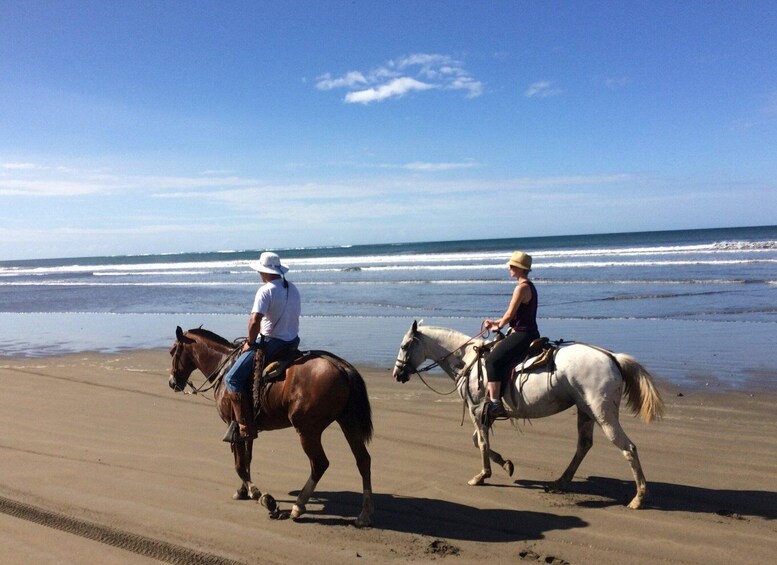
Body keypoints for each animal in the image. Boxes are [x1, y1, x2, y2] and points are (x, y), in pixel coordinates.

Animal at [168, 326, 374, 524]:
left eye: (172, 352)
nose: (172, 382)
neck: (224, 367)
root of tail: (342, 367)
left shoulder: (233, 427)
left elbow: (239, 465)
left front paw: (259, 495)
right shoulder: (247, 428)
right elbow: (247, 459)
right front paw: (243, 490)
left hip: (308, 430)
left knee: (319, 463)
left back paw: (299, 506)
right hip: (348, 423)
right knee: (363, 460)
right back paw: (364, 514)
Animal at [392, 320, 664, 508]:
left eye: (404, 346)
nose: (397, 374)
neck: (468, 360)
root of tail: (611, 357)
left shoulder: (477, 410)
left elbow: (481, 442)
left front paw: (482, 475)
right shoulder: (484, 414)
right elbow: (478, 441)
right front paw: (507, 464)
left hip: (603, 413)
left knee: (628, 448)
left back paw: (638, 498)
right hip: (585, 410)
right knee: (584, 444)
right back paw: (560, 482)